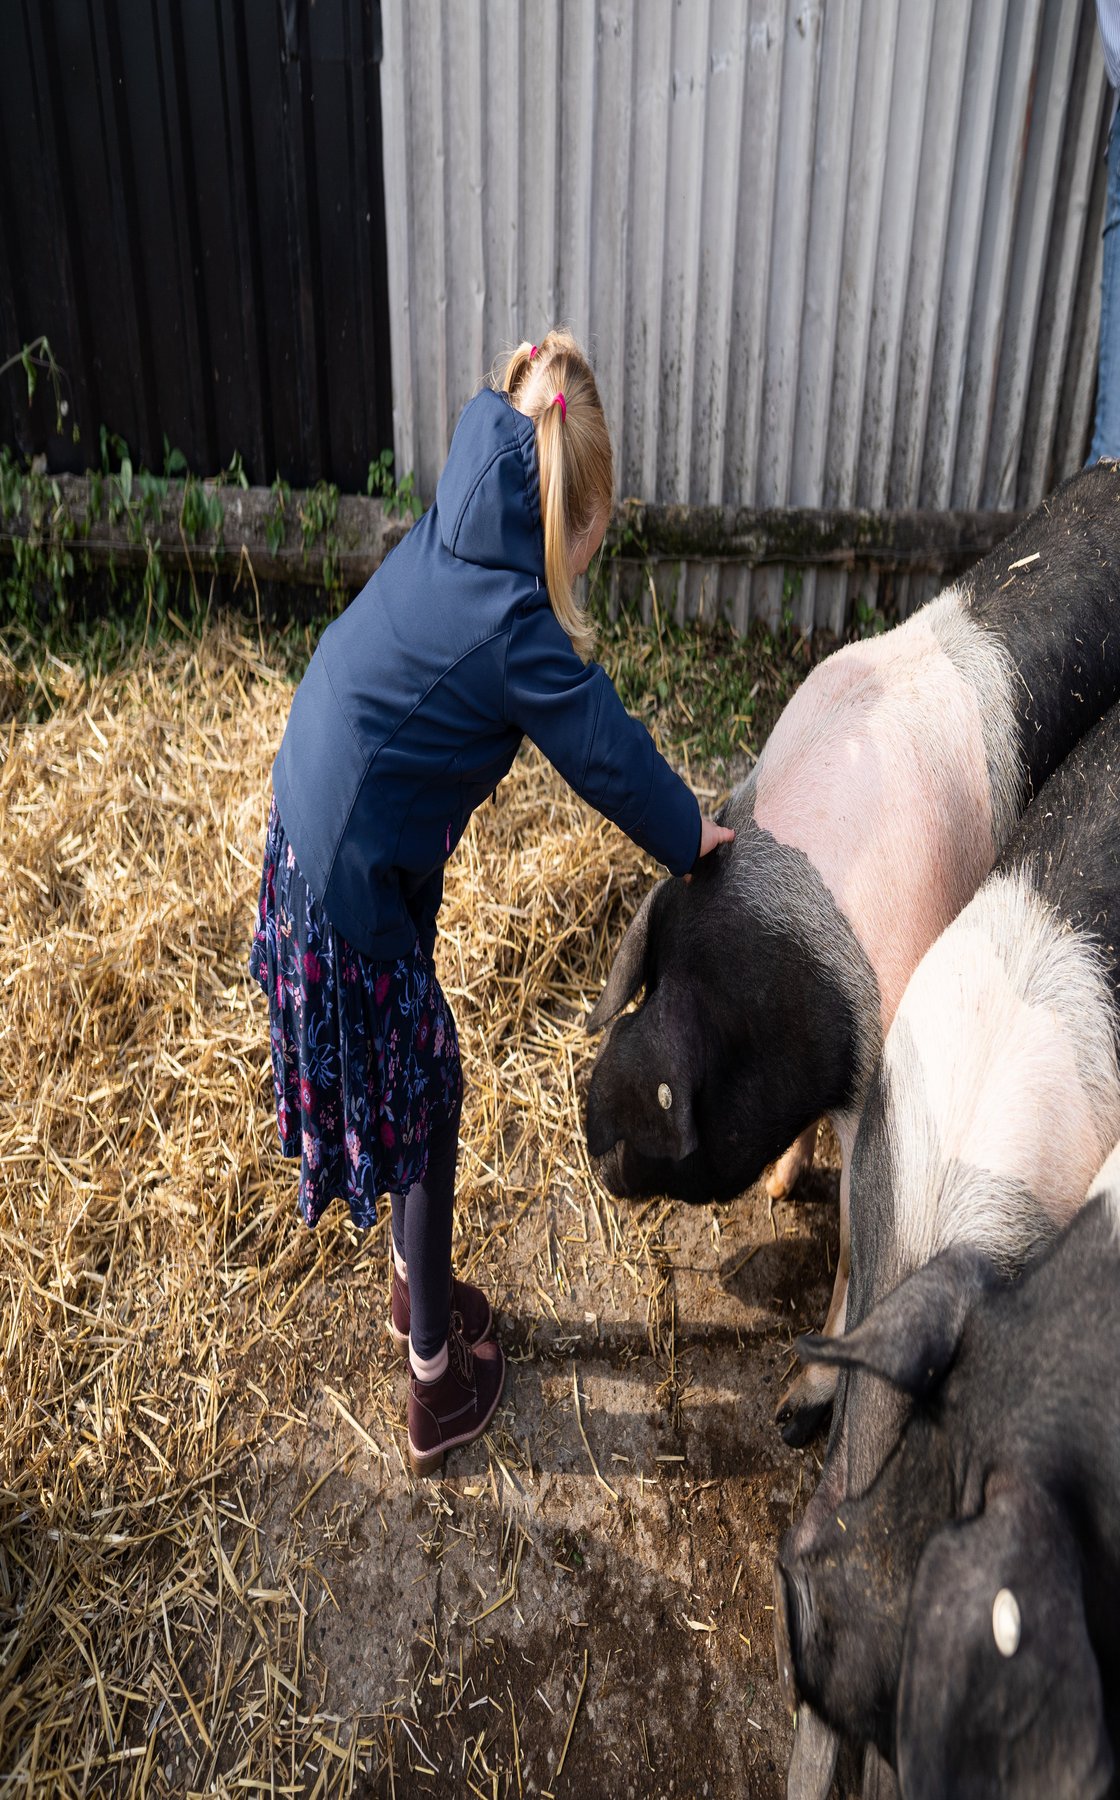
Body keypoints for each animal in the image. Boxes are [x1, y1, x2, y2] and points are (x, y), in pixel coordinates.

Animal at [583, 457, 1120, 1440]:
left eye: (678, 1094)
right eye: (647, 988)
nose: (594, 1126)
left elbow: (850, 1256)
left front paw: (793, 1408)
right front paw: (776, 1188)